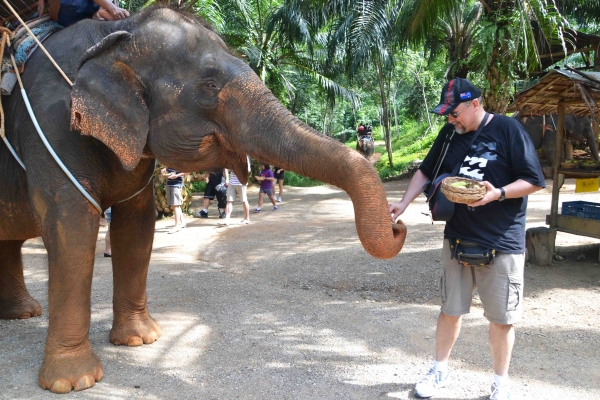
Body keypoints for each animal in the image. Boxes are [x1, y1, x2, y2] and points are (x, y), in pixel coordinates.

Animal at [0, 5, 408, 394]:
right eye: (210, 84)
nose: (397, 222)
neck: (112, 36)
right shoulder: (50, 128)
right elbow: (71, 228)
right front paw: (74, 382)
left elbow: (137, 226)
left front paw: (142, 340)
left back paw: (24, 314)